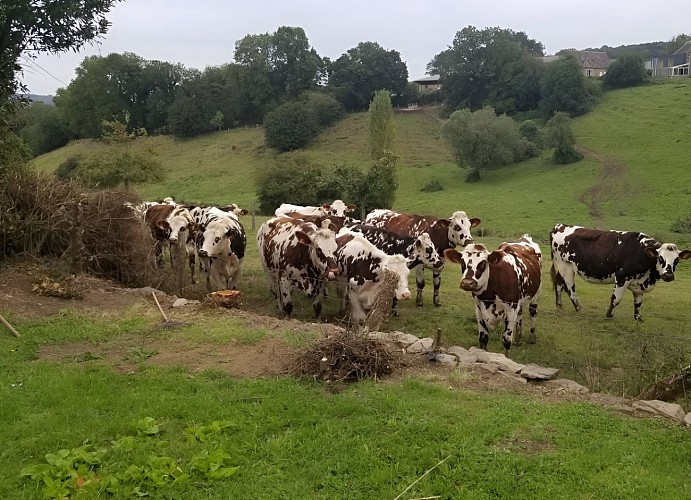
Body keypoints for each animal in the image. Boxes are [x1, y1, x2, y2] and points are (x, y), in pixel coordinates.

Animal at [550, 224, 691, 320]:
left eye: (677, 260)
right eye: (660, 258)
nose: (668, 275)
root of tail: (560, 226)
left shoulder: (639, 283)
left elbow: (638, 302)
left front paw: (638, 319)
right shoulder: (622, 277)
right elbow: (616, 299)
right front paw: (609, 315)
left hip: (563, 267)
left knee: (558, 283)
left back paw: (559, 305)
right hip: (565, 267)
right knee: (570, 289)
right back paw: (579, 309)